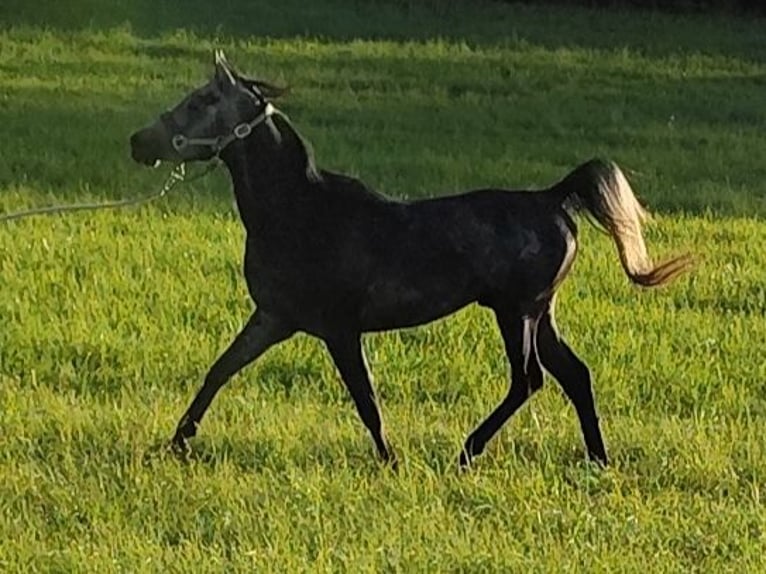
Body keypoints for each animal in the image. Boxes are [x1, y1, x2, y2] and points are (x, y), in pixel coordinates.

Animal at [129, 51, 692, 470]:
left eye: (202, 100)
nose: (139, 142)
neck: (298, 212)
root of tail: (553, 198)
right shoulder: (274, 317)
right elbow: (220, 370)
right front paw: (176, 442)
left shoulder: (338, 328)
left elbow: (366, 401)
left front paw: (390, 460)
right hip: (540, 312)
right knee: (575, 375)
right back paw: (597, 459)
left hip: (517, 312)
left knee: (529, 379)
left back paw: (467, 451)